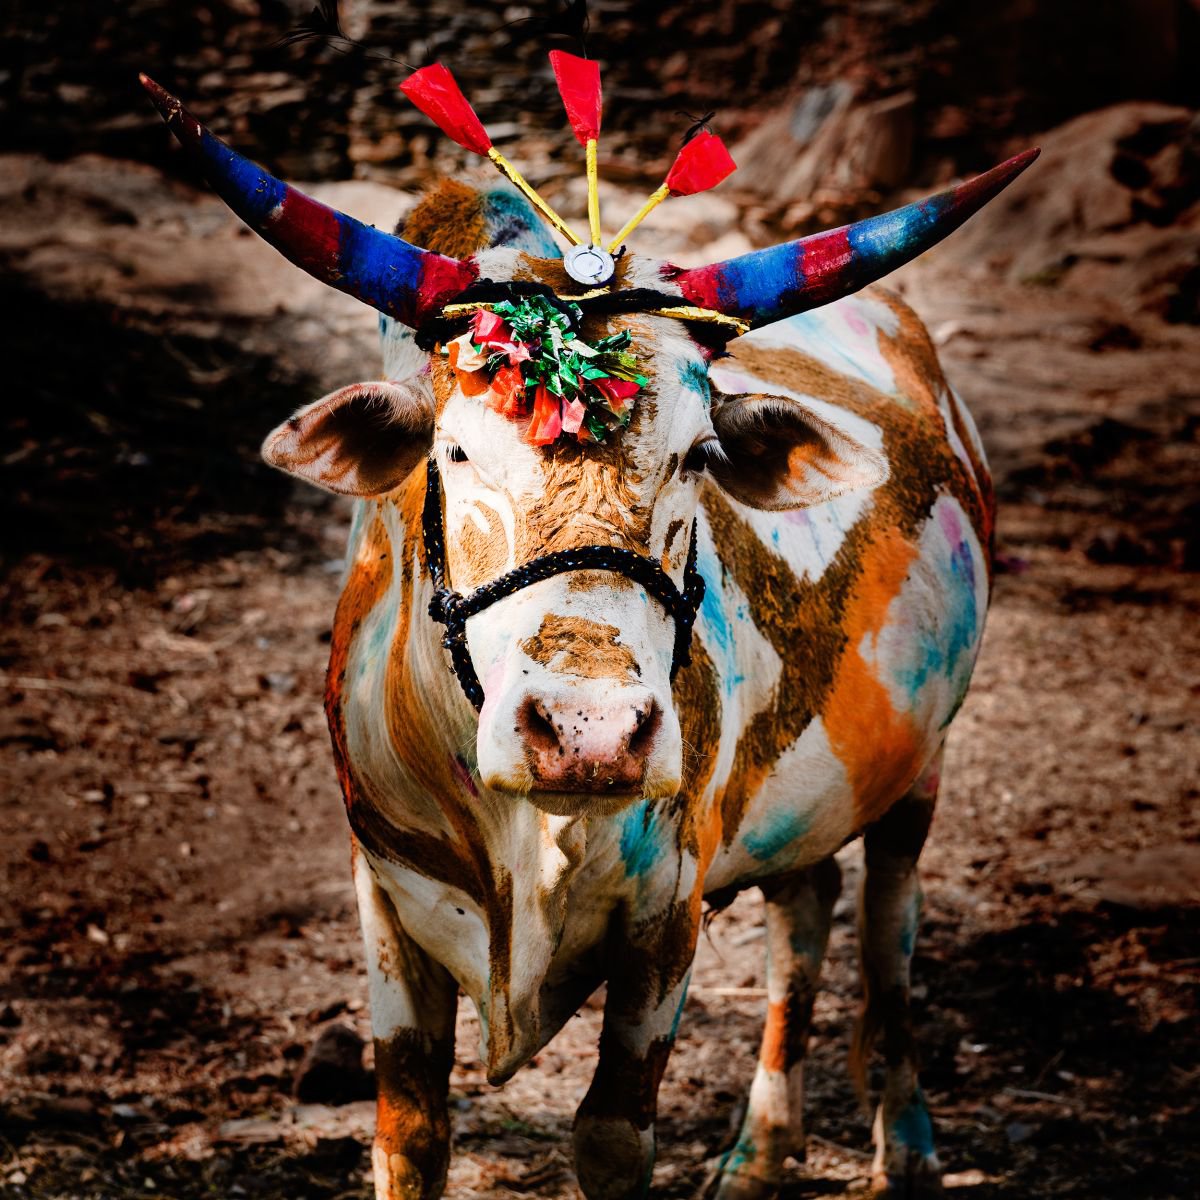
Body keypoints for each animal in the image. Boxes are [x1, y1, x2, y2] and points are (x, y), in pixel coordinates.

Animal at [142, 76, 1034, 1200]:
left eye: (699, 454)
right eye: (453, 449)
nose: (589, 733)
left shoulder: (667, 918)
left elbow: (611, 1138)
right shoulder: (384, 906)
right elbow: (409, 1135)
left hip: (921, 770)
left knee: (888, 945)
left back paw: (905, 1149)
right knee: (806, 909)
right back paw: (758, 1152)